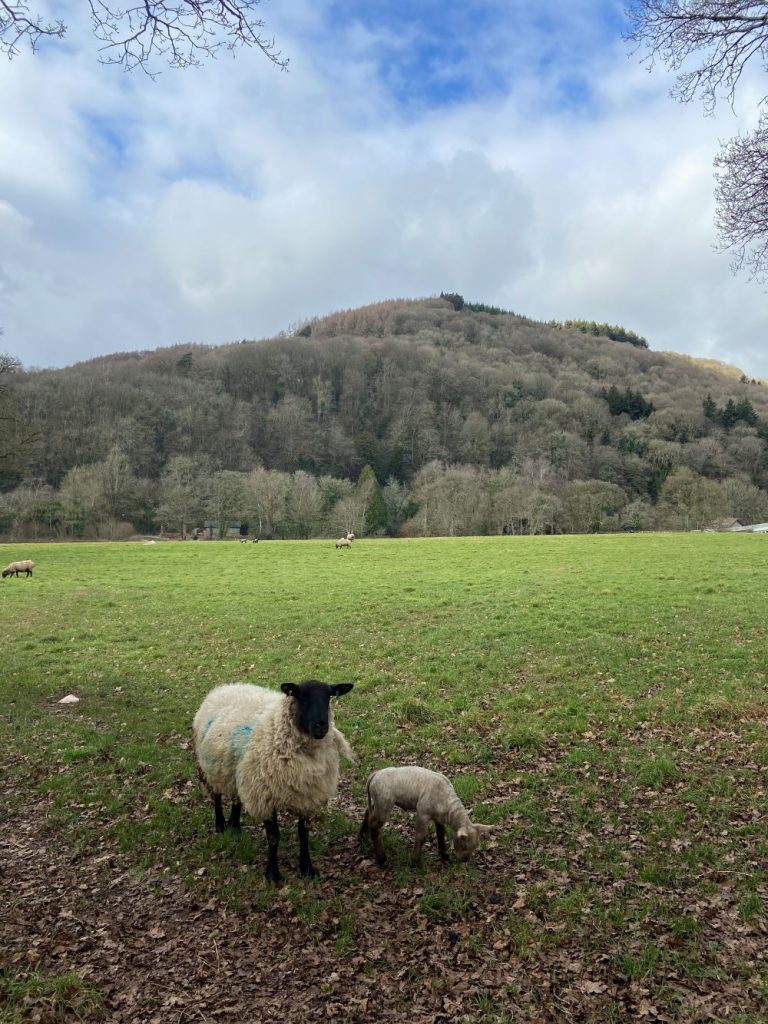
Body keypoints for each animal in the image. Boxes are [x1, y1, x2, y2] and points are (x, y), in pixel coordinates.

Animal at [193, 679, 354, 882]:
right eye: (301, 695)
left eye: (329, 696)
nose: (321, 726)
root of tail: (225, 687)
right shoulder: (265, 796)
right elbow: (273, 837)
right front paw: (273, 874)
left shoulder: (308, 794)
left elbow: (303, 833)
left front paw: (307, 868)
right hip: (212, 767)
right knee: (216, 795)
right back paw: (221, 825)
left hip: (237, 770)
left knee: (237, 798)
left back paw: (235, 826)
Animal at [359, 766, 493, 867]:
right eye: (464, 845)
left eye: (475, 846)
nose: (464, 860)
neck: (449, 806)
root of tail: (375, 775)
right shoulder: (423, 813)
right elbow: (421, 836)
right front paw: (414, 862)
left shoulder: (438, 817)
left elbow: (441, 833)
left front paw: (444, 855)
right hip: (384, 802)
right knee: (374, 825)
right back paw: (382, 859)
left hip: (377, 802)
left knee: (368, 813)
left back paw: (361, 837)